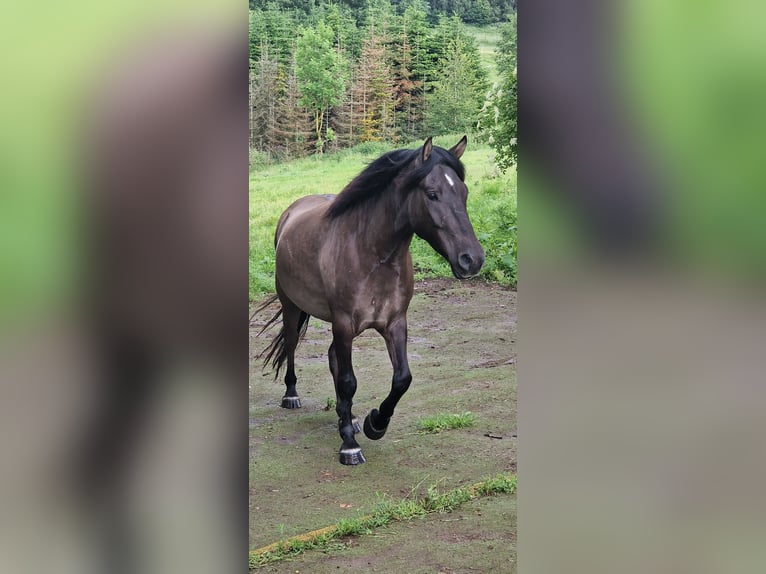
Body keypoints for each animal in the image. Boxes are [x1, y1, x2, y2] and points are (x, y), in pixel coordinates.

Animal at [257, 136, 485, 465]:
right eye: (432, 194)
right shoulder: (343, 323)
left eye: (464, 193)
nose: (472, 260)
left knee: (332, 358)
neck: (373, 254)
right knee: (291, 343)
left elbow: (402, 378)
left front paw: (374, 423)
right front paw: (350, 446)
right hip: (292, 307)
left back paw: (347, 418)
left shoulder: (395, 323)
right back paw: (292, 396)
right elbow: (349, 380)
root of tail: (291, 212)